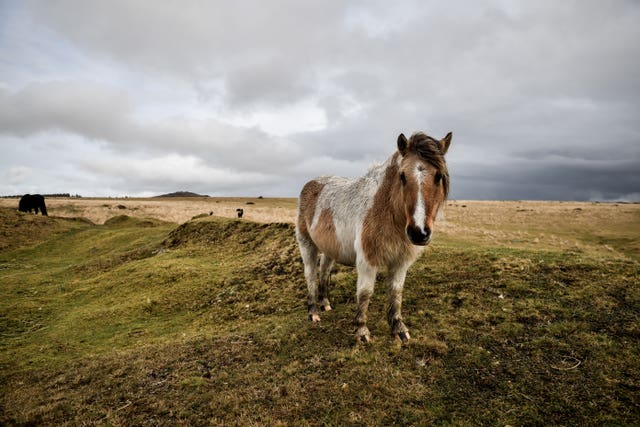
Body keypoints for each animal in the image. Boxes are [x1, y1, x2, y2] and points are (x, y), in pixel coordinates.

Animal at [298, 131, 452, 344]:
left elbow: (396, 292)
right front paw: (361, 330)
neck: (386, 210)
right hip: (307, 244)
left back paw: (325, 303)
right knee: (311, 274)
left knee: (323, 271)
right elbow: (365, 293)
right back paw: (313, 312)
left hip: (330, 249)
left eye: (439, 176)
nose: (419, 232)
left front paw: (399, 328)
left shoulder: (400, 262)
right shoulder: (367, 260)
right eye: (402, 176)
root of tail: (311, 183)